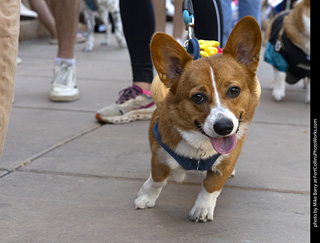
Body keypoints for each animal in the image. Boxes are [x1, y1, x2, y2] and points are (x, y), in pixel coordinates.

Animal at [134, 16, 262, 222]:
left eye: (234, 90)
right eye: (198, 97)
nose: (224, 127)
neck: (201, 144)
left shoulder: (226, 161)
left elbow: (211, 187)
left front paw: (202, 209)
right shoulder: (159, 156)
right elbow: (157, 180)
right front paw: (147, 197)